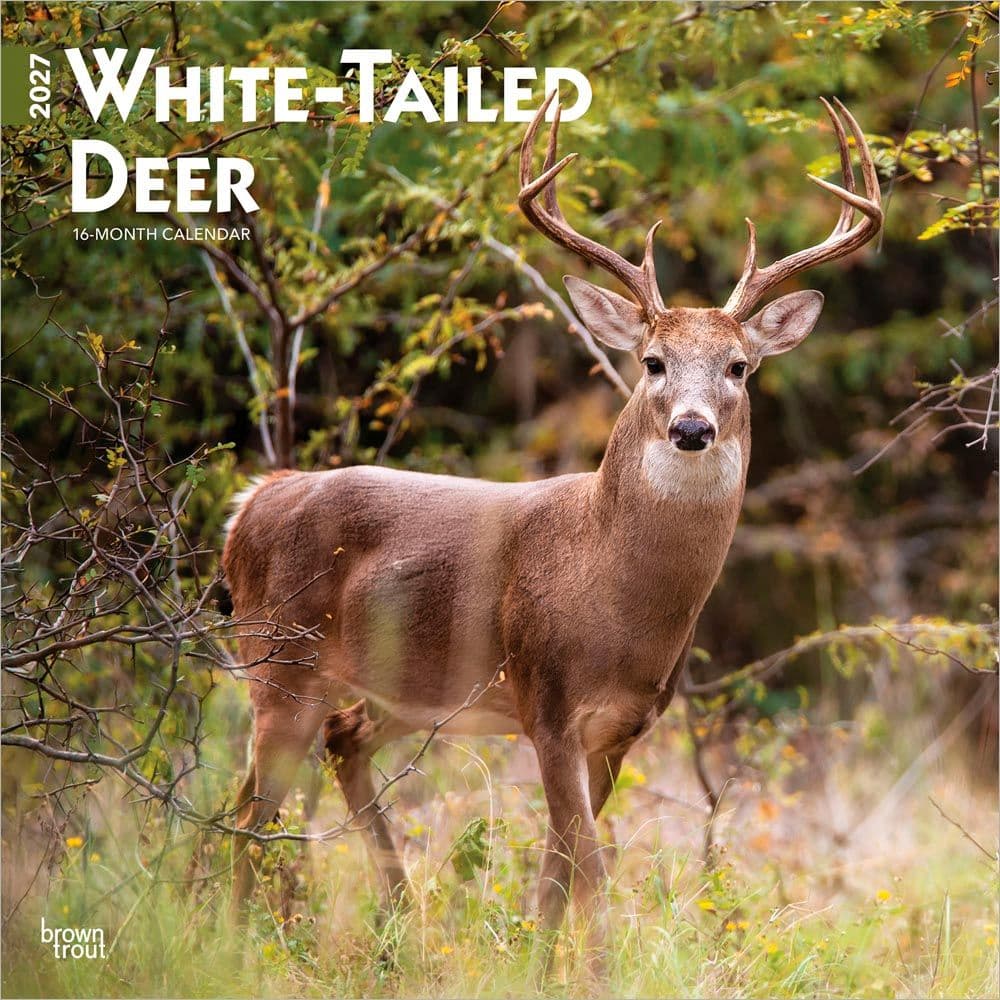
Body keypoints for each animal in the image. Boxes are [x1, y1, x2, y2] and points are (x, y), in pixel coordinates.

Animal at [222, 93, 882, 973]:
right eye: (652, 361)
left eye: (740, 367)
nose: (693, 428)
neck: (612, 589)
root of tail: (251, 503)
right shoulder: (548, 699)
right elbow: (590, 865)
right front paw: (600, 974)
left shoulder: (622, 725)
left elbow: (558, 870)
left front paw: (540, 968)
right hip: (279, 661)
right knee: (247, 816)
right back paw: (227, 940)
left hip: (399, 688)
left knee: (333, 748)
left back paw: (394, 926)